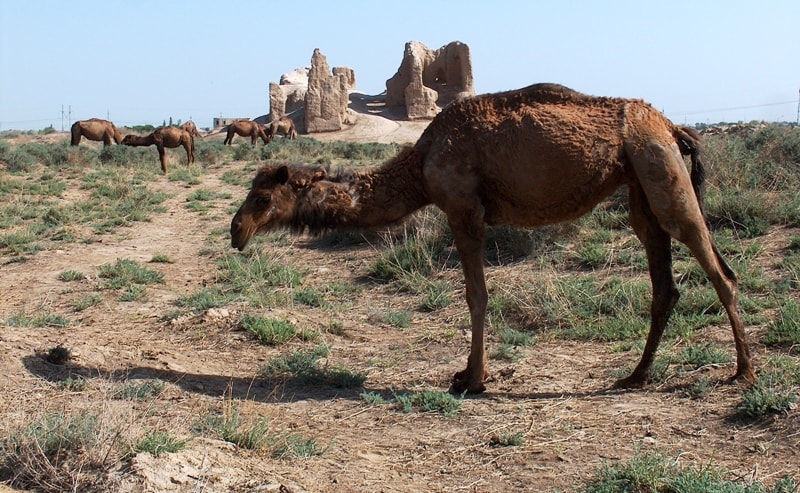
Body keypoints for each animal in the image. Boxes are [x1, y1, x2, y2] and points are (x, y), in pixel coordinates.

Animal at [228, 82, 752, 394]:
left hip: (659, 165)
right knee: (664, 281)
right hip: (640, 181)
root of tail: (671, 125)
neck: (421, 163)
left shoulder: (463, 210)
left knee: (717, 266)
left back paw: (744, 371)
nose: (236, 230)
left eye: (262, 197)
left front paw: (471, 378)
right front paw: (471, 374)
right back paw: (635, 375)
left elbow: (475, 295)